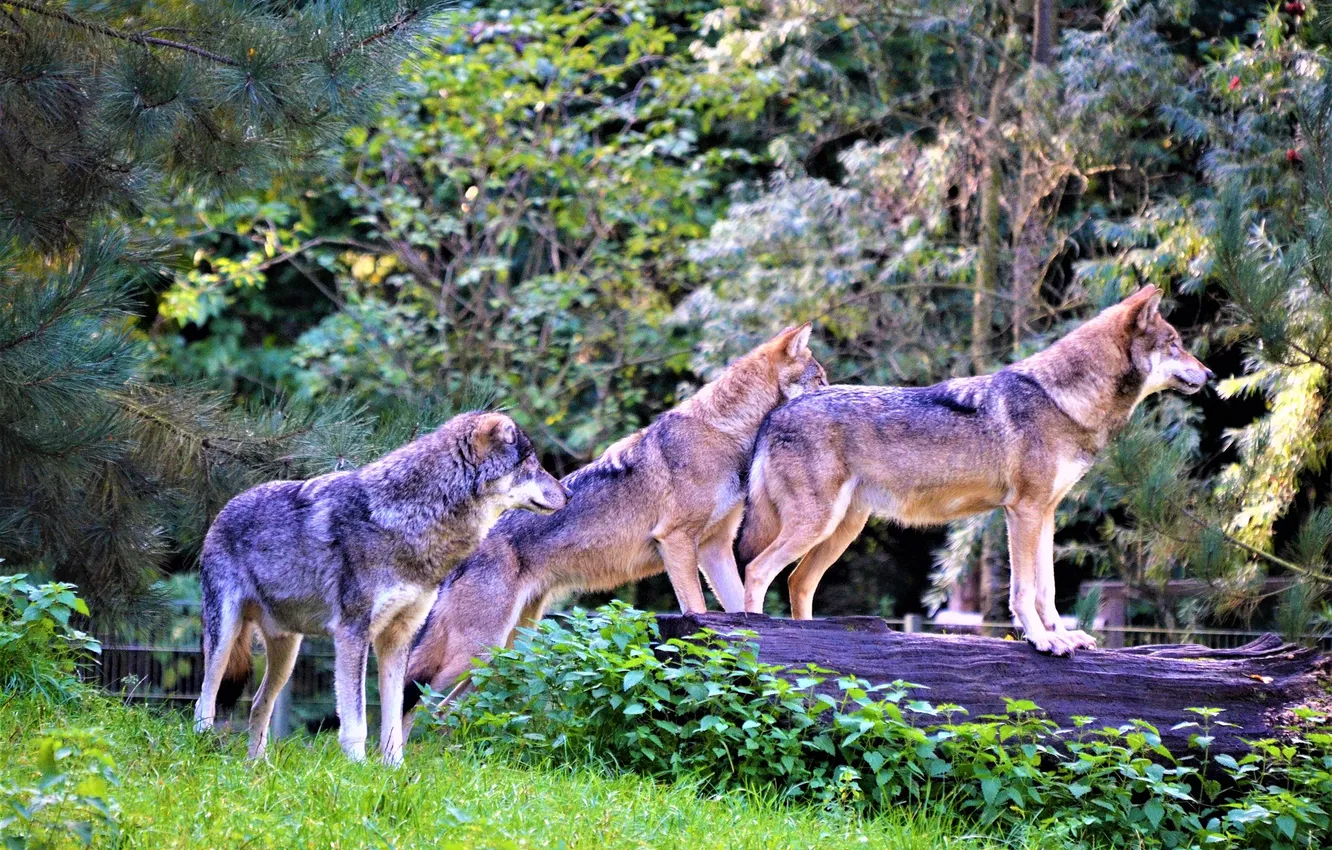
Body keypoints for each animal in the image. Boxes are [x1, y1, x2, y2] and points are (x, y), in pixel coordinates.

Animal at [193, 411, 567, 765]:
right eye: (530, 463)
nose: (570, 493)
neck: (409, 517)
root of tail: (226, 507)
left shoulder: (398, 637)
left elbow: (393, 720)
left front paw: (395, 769)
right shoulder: (352, 633)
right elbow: (356, 720)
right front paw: (358, 769)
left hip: (287, 653)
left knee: (258, 703)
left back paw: (258, 766)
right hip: (225, 636)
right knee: (204, 699)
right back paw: (204, 750)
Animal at [399, 325, 827, 718]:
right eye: (821, 379)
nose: (834, 394)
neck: (723, 432)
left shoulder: (715, 549)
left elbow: (741, 612)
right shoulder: (675, 540)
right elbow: (695, 609)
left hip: (503, 652)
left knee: (449, 714)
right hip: (474, 652)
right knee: (419, 706)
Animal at [737, 286, 1212, 656]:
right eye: (1174, 344)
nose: (1209, 373)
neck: (1062, 399)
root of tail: (775, 414)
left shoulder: (1046, 513)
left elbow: (1048, 589)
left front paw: (1064, 636)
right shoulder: (1023, 511)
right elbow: (1024, 590)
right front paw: (1042, 641)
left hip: (841, 529)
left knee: (798, 582)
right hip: (816, 525)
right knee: (758, 571)